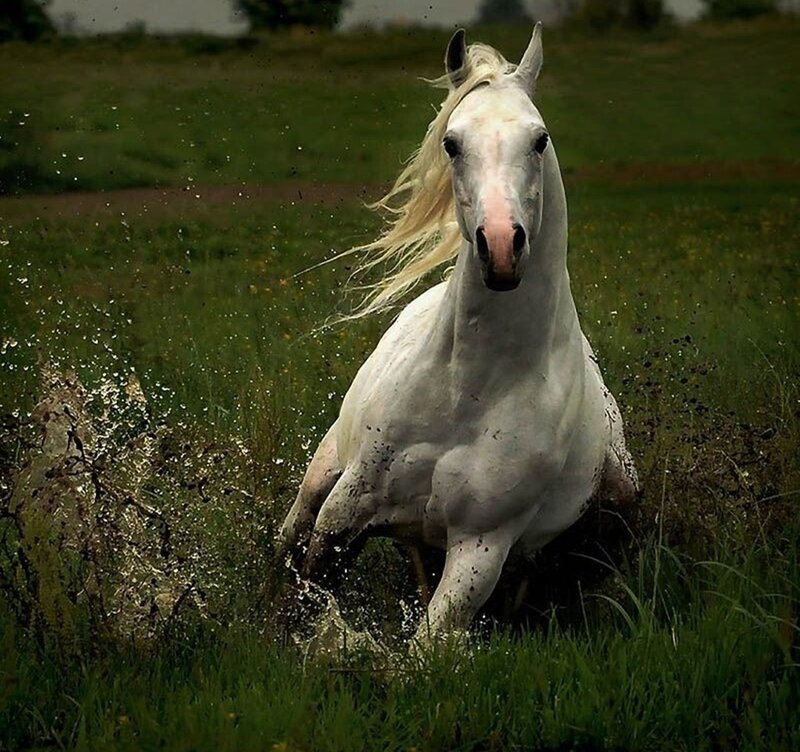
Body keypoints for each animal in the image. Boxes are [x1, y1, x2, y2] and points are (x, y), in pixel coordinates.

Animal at [277, 24, 638, 642]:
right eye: (451, 143)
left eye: (539, 140)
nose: (501, 246)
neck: (469, 388)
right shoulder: (347, 507)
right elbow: (310, 592)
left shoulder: (479, 552)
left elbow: (423, 649)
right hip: (321, 474)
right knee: (286, 535)